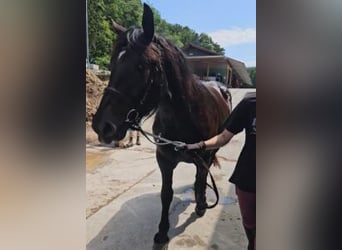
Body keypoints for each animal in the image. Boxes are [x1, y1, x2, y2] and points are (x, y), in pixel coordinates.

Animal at [93, 3, 232, 244]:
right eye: (111, 63)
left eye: (141, 66)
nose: (103, 126)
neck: (186, 117)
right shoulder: (164, 160)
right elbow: (166, 194)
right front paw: (162, 231)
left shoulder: (204, 155)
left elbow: (200, 178)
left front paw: (201, 204)